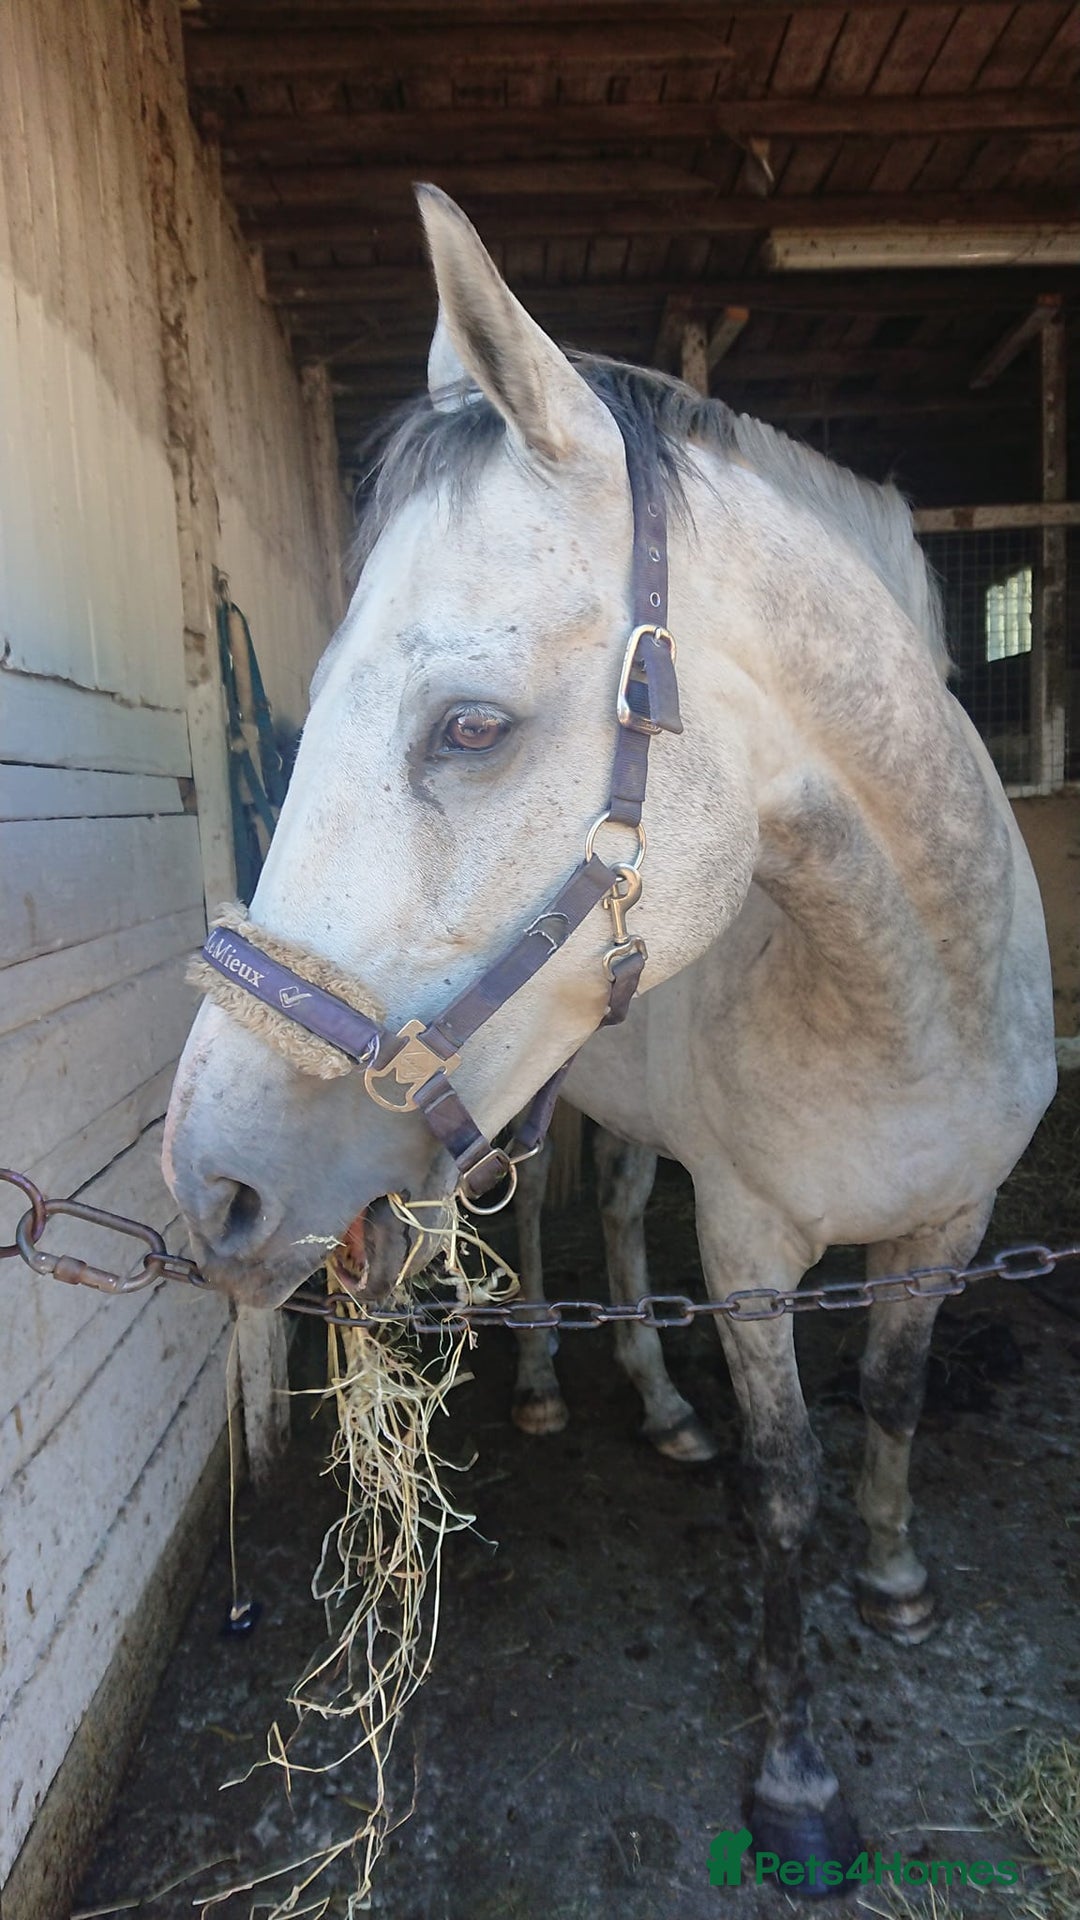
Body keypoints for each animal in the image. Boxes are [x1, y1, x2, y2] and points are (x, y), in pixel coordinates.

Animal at [163, 184, 1056, 1885]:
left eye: (471, 726)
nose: (210, 1186)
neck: (905, 1003)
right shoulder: (756, 1244)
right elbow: (785, 1480)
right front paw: (798, 1783)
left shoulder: (954, 1220)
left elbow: (896, 1398)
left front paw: (898, 1582)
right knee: (558, 1236)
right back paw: (549, 1388)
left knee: (631, 1220)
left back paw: (653, 1407)